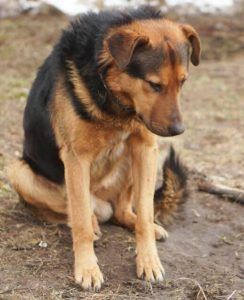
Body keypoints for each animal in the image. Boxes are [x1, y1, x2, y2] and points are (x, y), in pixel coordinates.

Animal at [7, 5, 200, 290]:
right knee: (71, 211)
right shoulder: (76, 158)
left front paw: (149, 261)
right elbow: (80, 225)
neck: (115, 99)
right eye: (154, 85)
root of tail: (103, 204)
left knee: (124, 211)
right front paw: (87, 268)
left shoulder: (145, 147)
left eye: (183, 82)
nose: (178, 131)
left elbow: (145, 213)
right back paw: (92, 221)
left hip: (136, 161)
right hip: (18, 170)